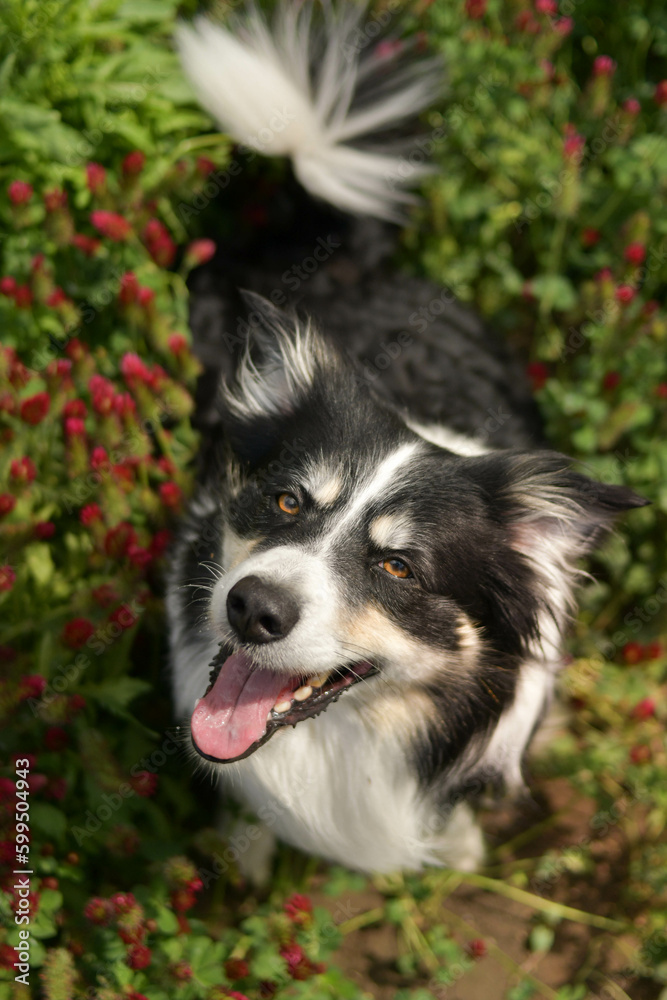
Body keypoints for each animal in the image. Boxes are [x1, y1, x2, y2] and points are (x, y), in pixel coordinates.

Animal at [168, 1, 648, 876]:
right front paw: (243, 852)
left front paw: (457, 852)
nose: (251, 609)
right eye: (285, 502)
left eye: (397, 567)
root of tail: (349, 266)